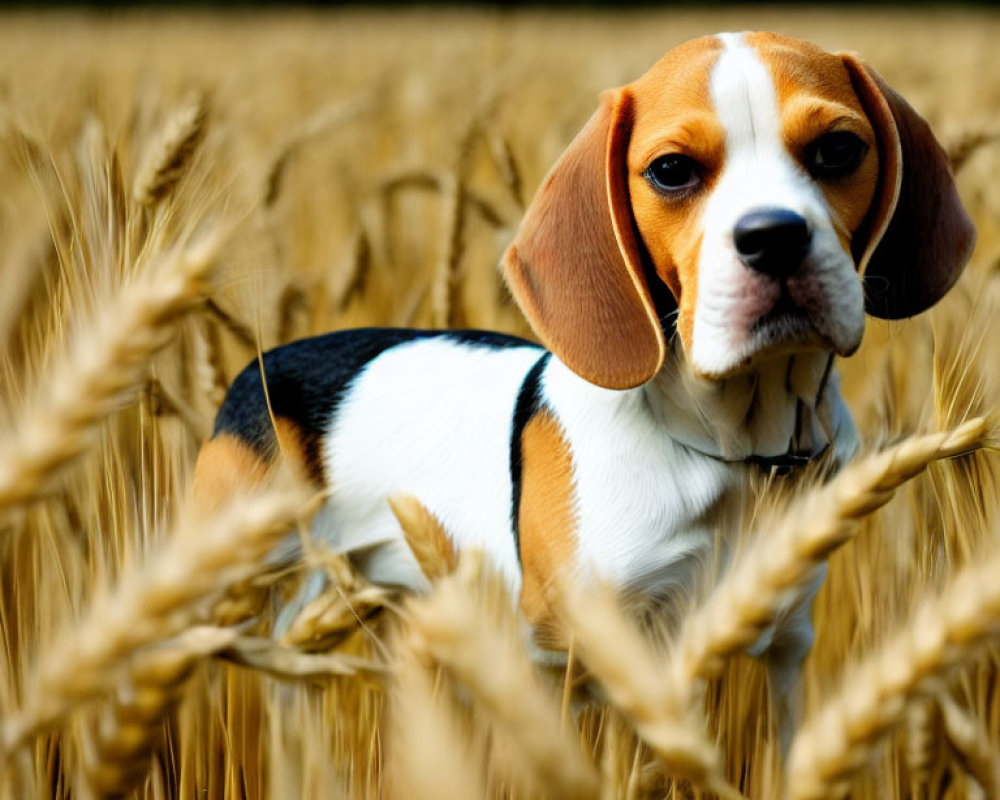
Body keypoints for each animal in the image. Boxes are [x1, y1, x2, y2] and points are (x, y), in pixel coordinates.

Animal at [195, 34, 976, 736]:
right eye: (671, 169)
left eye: (838, 149)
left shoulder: (785, 640)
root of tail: (259, 361)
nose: (774, 237)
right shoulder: (568, 657)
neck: (736, 452)